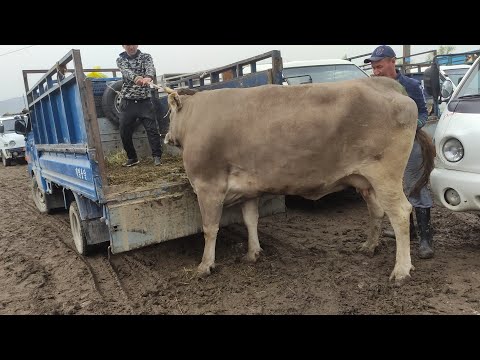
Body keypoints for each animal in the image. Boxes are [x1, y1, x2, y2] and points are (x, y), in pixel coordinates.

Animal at [164, 76, 424, 284]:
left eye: (169, 115)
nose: (166, 137)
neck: (195, 116)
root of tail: (384, 83)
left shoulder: (208, 185)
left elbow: (209, 228)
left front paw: (205, 265)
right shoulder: (249, 189)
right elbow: (250, 220)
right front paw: (253, 253)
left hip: (385, 175)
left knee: (400, 213)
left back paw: (401, 270)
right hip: (365, 180)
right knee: (376, 210)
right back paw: (369, 246)